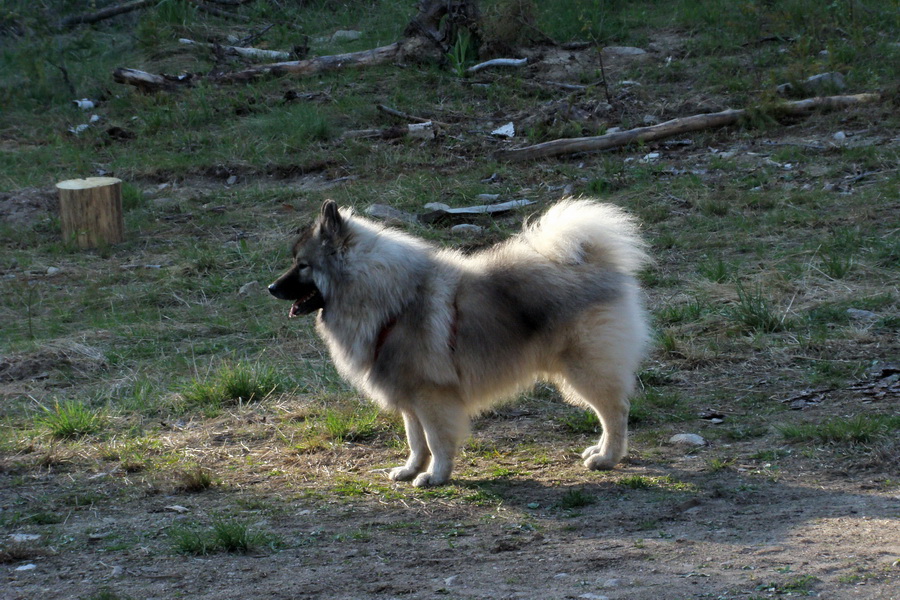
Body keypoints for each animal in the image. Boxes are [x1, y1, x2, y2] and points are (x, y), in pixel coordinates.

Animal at [268, 199, 648, 486]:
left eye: (303, 265)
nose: (271, 288)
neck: (389, 300)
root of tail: (596, 261)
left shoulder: (432, 395)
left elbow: (437, 441)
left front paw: (435, 476)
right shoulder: (409, 397)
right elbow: (416, 441)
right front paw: (410, 470)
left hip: (585, 369)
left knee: (614, 412)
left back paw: (607, 457)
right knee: (610, 412)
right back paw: (598, 451)